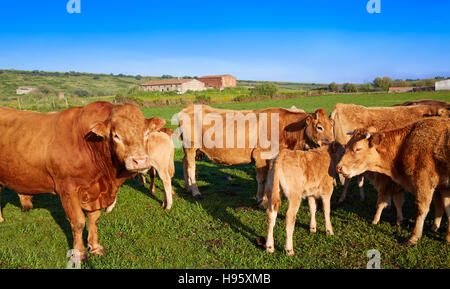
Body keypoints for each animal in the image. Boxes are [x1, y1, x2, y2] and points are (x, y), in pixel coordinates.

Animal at [0, 102, 164, 260]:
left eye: (146, 133)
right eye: (116, 135)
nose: (140, 161)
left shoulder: (96, 192)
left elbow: (94, 219)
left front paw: (95, 247)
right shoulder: (67, 189)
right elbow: (78, 222)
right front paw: (79, 252)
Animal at [178, 104, 332, 201]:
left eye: (332, 126)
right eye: (319, 127)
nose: (330, 144)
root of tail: (188, 107)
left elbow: (270, 178)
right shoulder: (260, 156)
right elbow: (262, 179)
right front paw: (260, 199)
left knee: (184, 163)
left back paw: (187, 188)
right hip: (191, 145)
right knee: (191, 168)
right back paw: (196, 192)